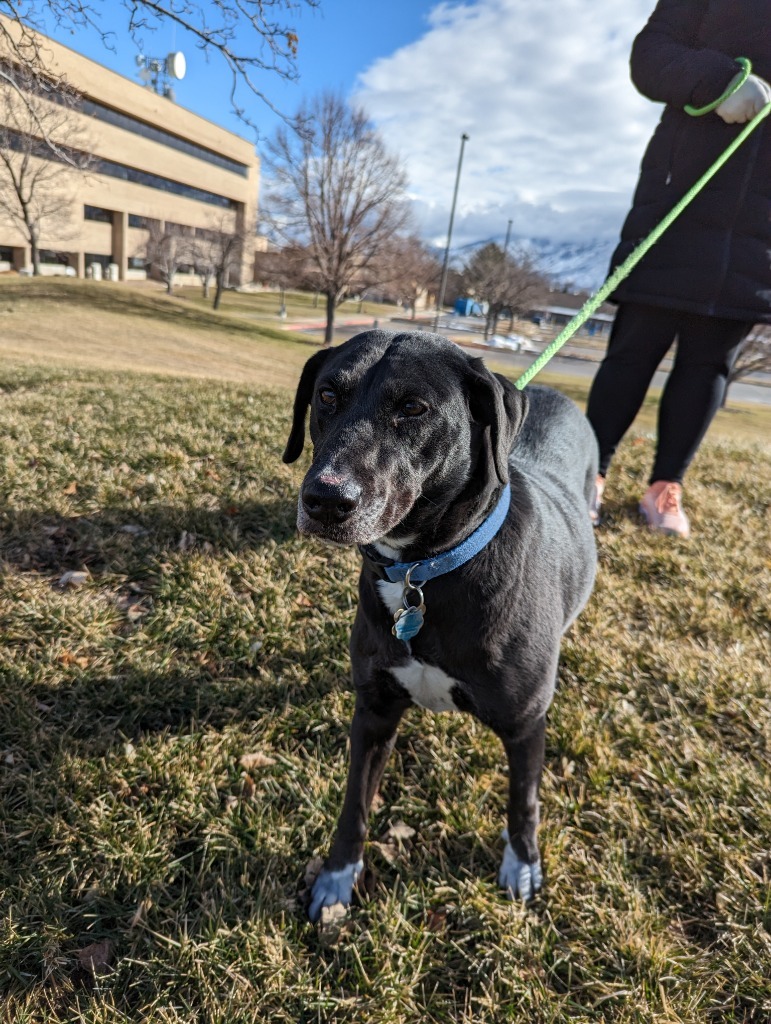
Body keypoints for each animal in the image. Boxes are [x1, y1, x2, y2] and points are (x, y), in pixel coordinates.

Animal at [282, 329, 593, 921]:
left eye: (413, 408)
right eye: (327, 395)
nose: (325, 500)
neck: (423, 570)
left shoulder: (525, 724)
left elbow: (524, 801)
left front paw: (522, 865)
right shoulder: (375, 712)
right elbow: (354, 804)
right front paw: (335, 878)